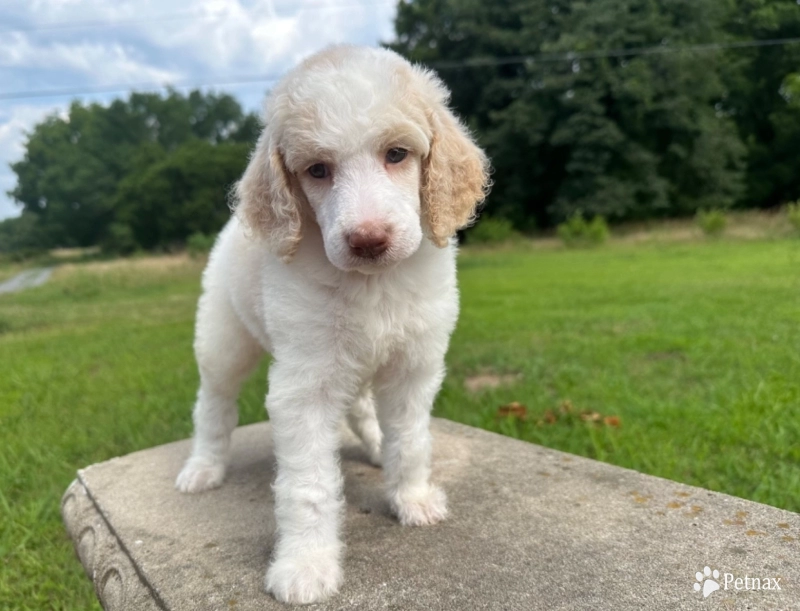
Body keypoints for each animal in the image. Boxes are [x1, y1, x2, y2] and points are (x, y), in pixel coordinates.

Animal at [175, 45, 488, 604]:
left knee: (361, 405)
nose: (368, 239)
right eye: (318, 170)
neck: (372, 284)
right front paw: (305, 566)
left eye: (397, 154)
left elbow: (412, 440)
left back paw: (374, 446)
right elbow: (308, 485)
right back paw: (203, 467)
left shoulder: (413, 367)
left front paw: (412, 499)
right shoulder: (305, 386)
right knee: (214, 405)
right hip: (223, 340)